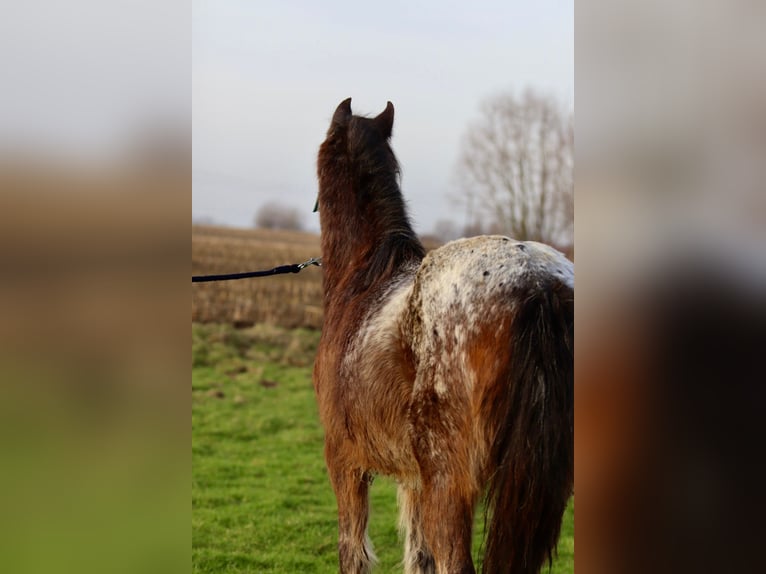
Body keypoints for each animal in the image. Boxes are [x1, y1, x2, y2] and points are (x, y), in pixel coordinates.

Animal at [314, 97, 576, 572]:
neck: (363, 279)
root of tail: (538, 284)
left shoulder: (345, 463)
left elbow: (353, 553)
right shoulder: (413, 480)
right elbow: (418, 558)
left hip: (449, 487)